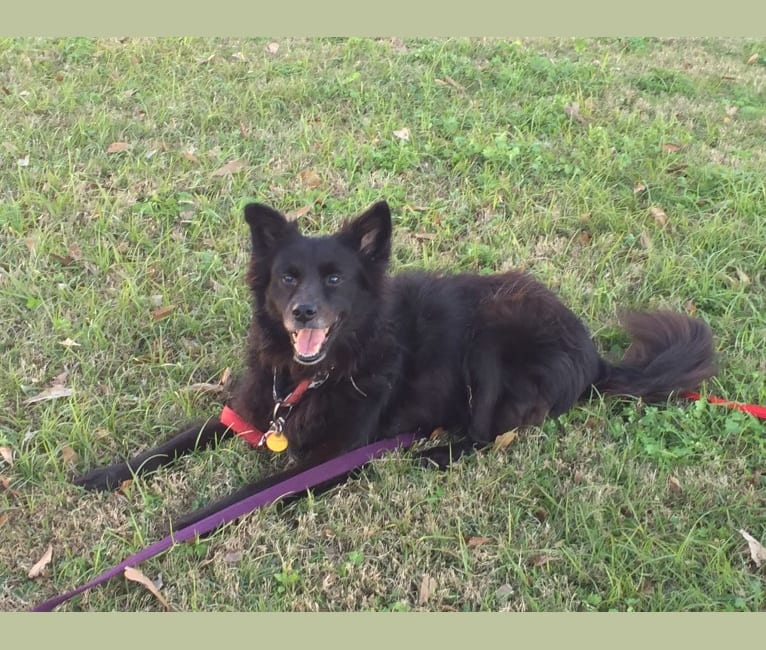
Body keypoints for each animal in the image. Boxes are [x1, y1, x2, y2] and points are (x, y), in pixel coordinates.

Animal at [75, 201, 716, 528]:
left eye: (335, 279)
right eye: (288, 278)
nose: (304, 311)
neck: (315, 374)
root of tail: (593, 353)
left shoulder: (332, 456)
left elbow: (243, 496)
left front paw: (177, 525)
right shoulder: (251, 411)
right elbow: (172, 443)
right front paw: (104, 475)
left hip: (490, 333)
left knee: (486, 434)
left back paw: (430, 452)